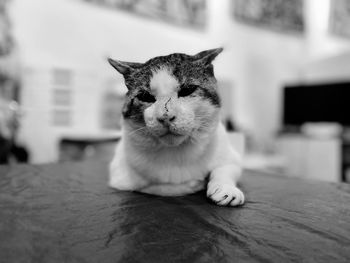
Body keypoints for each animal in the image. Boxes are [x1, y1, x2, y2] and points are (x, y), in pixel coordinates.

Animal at [108, 48, 245, 207]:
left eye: (187, 90)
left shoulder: (231, 157)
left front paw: (225, 189)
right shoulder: (121, 177)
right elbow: (162, 187)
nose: (165, 117)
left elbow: (225, 169)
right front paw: (195, 183)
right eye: (145, 97)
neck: (176, 153)